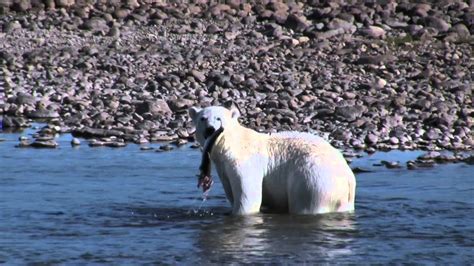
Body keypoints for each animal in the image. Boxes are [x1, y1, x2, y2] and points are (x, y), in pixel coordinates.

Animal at [189, 105, 356, 215]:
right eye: (202, 118)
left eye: (219, 118)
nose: (210, 129)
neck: (232, 143)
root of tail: (349, 180)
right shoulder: (223, 168)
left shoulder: (245, 161)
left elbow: (248, 196)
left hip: (314, 180)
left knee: (304, 203)